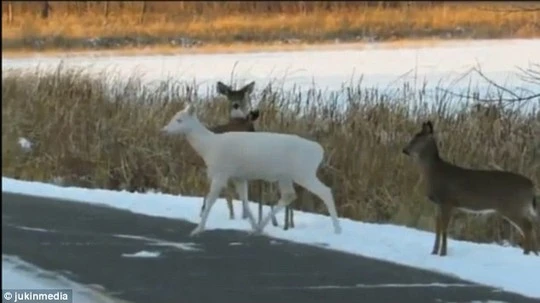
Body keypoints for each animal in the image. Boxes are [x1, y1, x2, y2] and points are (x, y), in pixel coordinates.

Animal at [160, 104, 342, 238]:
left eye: (179, 120)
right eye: (173, 117)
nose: (164, 129)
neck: (208, 147)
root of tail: (319, 151)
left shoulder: (221, 172)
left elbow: (211, 200)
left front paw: (197, 229)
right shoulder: (239, 176)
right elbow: (245, 202)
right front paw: (254, 226)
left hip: (303, 172)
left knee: (325, 191)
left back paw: (337, 229)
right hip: (286, 175)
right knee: (289, 195)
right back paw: (260, 227)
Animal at [402, 121, 536, 256]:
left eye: (418, 139)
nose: (405, 150)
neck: (434, 172)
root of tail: (531, 185)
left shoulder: (448, 201)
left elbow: (445, 228)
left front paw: (443, 253)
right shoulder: (438, 203)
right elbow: (438, 228)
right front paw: (434, 252)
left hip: (513, 207)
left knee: (528, 226)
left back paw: (526, 253)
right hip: (518, 208)